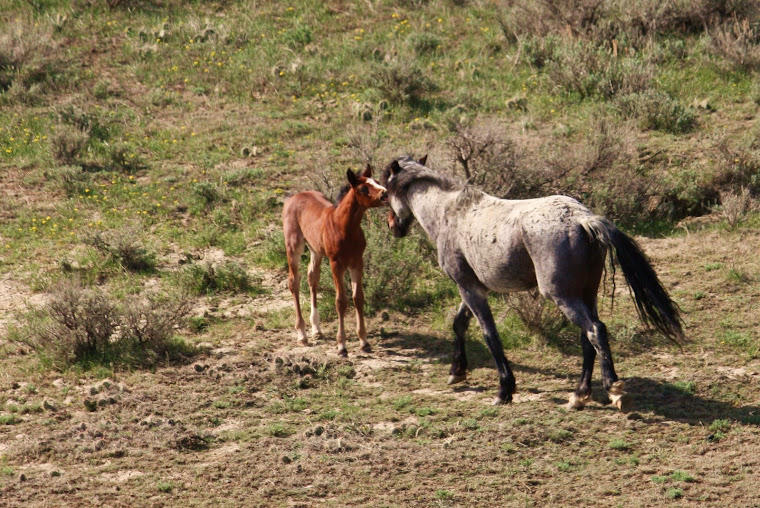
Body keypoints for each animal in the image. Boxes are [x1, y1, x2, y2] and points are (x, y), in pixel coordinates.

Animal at [280, 165, 388, 356]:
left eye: (377, 181)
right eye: (363, 188)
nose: (385, 193)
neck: (345, 227)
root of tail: (293, 197)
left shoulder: (357, 262)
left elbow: (358, 297)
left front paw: (364, 342)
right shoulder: (336, 263)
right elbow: (341, 301)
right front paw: (342, 346)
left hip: (315, 249)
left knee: (312, 277)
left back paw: (316, 329)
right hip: (294, 246)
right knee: (294, 281)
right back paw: (302, 334)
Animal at [382, 156, 684, 412]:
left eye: (386, 193)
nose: (393, 227)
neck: (452, 213)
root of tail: (582, 218)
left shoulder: (468, 288)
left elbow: (489, 334)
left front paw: (504, 391)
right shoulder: (473, 288)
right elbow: (459, 324)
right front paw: (457, 372)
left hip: (562, 296)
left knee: (595, 331)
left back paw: (614, 390)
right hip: (587, 294)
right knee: (588, 338)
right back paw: (579, 395)